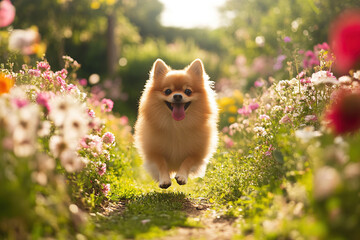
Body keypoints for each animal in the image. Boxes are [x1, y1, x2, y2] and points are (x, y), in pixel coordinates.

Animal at [134, 57, 218, 188]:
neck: (177, 125)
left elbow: (188, 160)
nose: (177, 96)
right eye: (168, 91)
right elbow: (161, 162)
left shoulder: (198, 153)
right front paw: (164, 179)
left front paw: (182, 176)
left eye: (188, 91)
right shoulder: (154, 152)